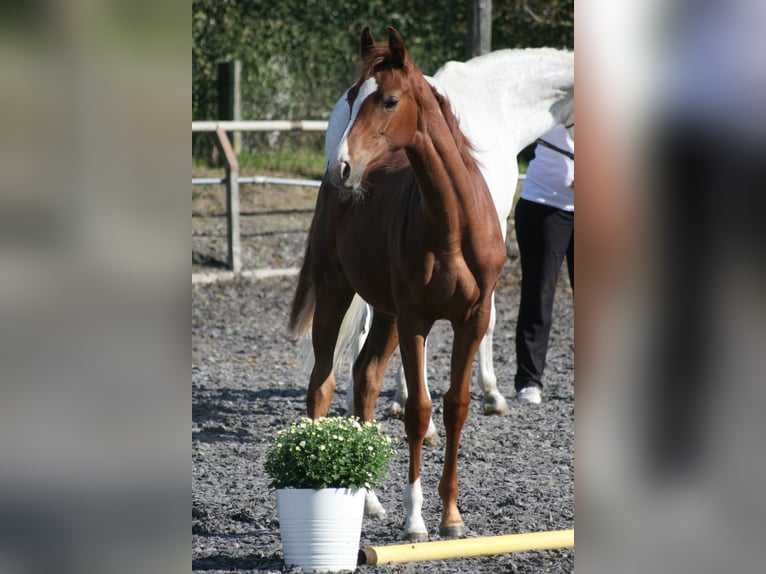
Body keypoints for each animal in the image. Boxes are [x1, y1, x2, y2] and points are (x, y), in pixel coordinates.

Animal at [289, 26, 507, 541]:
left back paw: (367, 500)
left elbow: (456, 405)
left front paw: (451, 517)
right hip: (337, 293)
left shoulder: (472, 319)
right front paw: (415, 521)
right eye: (352, 96)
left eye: (388, 100)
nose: (341, 169)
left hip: (384, 313)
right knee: (323, 384)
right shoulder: (416, 320)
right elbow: (417, 411)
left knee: (365, 379)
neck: (452, 223)